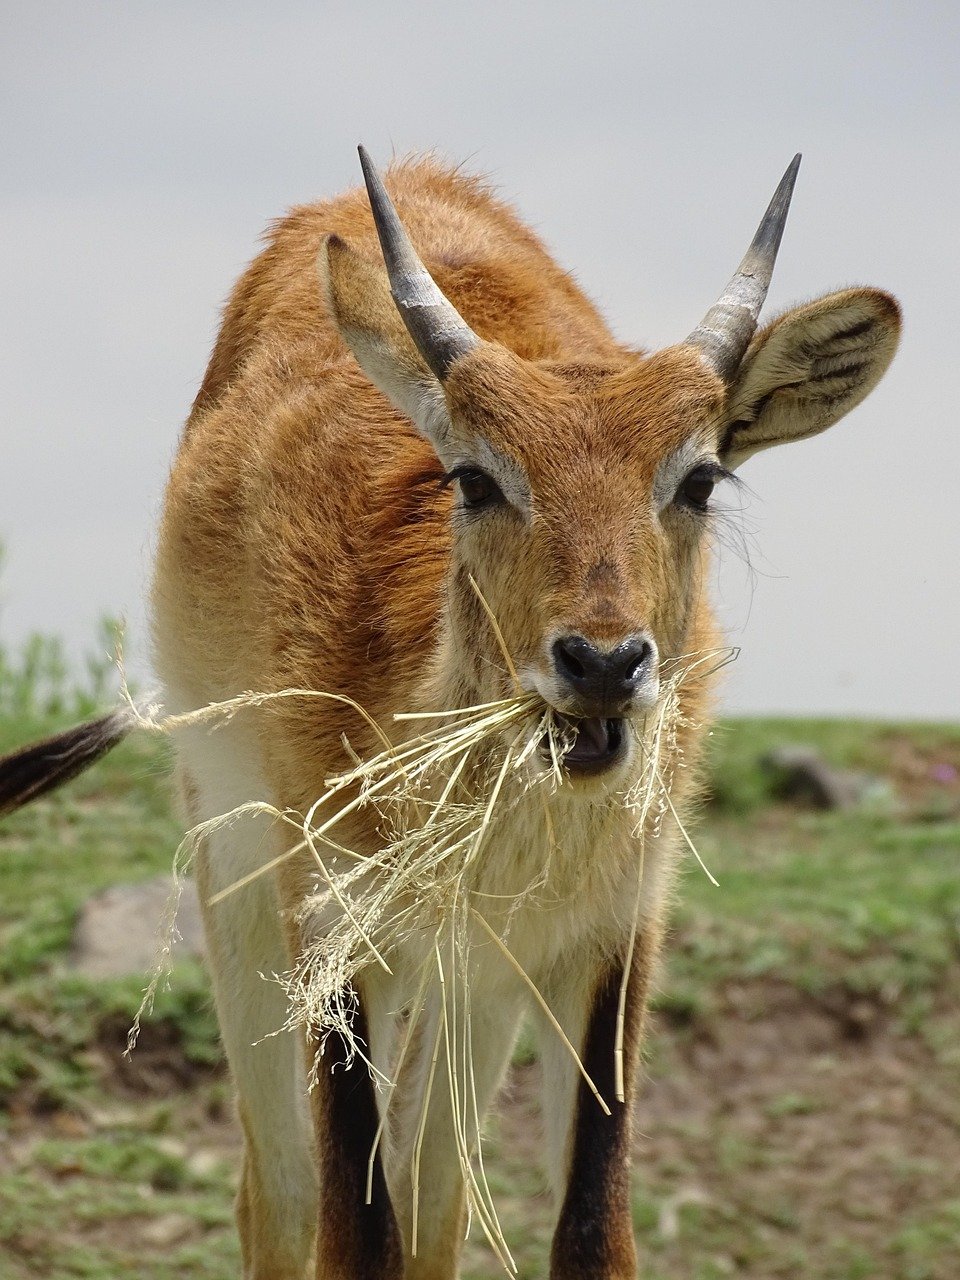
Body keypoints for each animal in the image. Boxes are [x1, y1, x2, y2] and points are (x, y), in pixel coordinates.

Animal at [0, 147, 900, 1279]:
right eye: (473, 476)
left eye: (699, 477)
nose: (601, 662)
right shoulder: (332, 926)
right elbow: (355, 1229)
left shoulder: (605, 941)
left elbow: (585, 1229)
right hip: (241, 875)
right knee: (279, 1195)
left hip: (470, 981)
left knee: (434, 1195)